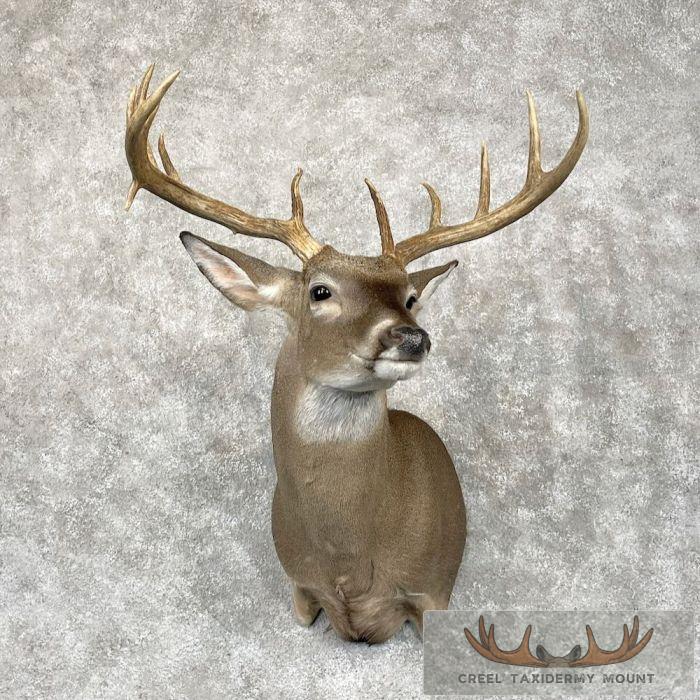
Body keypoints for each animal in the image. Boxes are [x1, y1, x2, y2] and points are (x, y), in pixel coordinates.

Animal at [124, 65, 588, 644]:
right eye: (320, 291)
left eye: (409, 296)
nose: (411, 337)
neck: (348, 561)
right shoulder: (298, 588)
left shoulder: (433, 593)